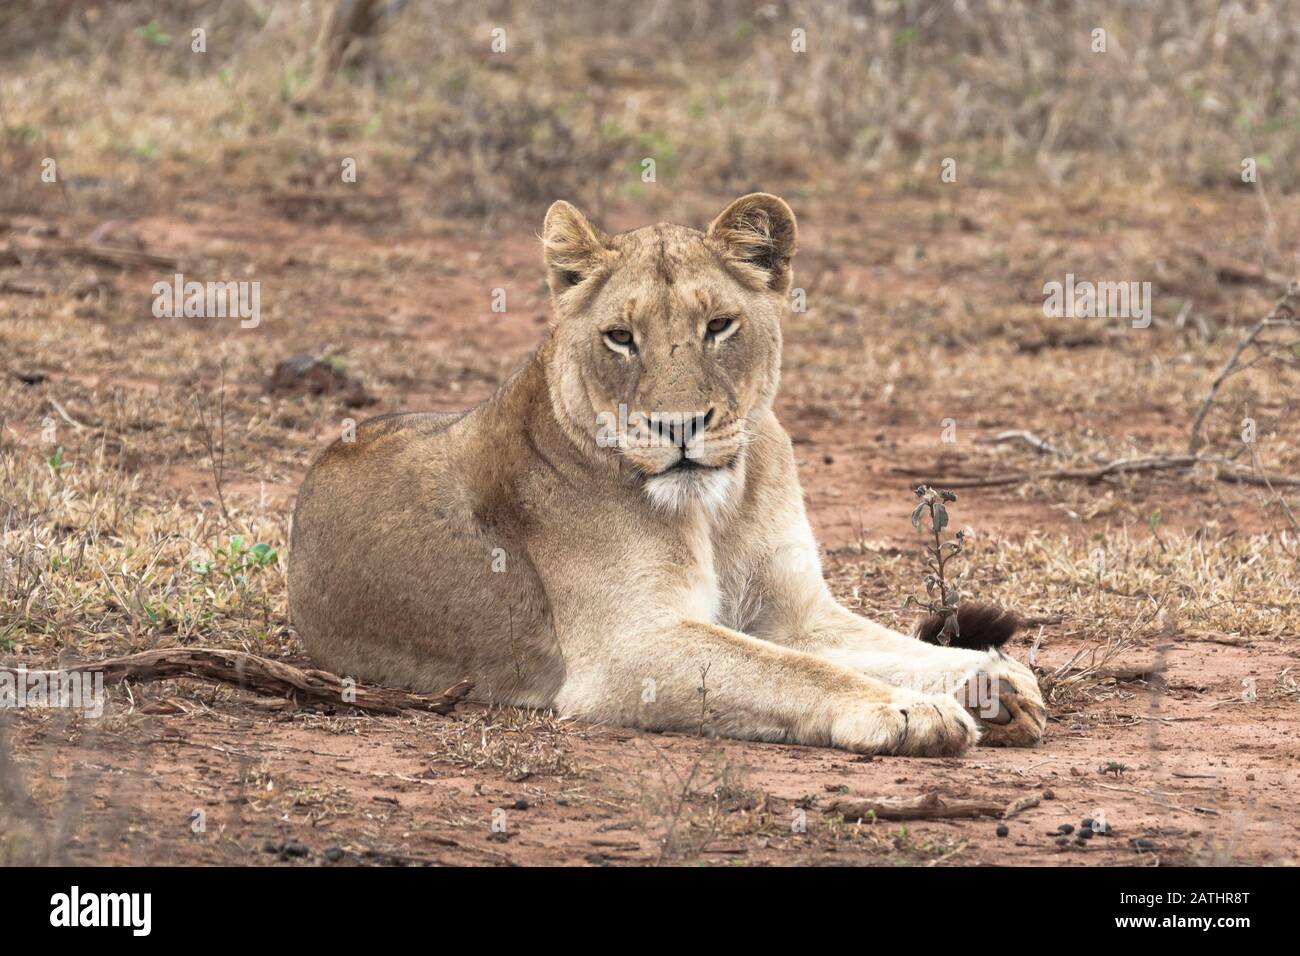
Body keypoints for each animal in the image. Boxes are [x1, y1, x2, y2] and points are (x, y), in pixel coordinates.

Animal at [287, 193, 1047, 755]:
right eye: (621, 338)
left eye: (719, 325)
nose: (678, 426)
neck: (718, 507)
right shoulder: (630, 650)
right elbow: (794, 670)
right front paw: (910, 711)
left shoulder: (792, 613)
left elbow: (876, 646)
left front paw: (993, 679)